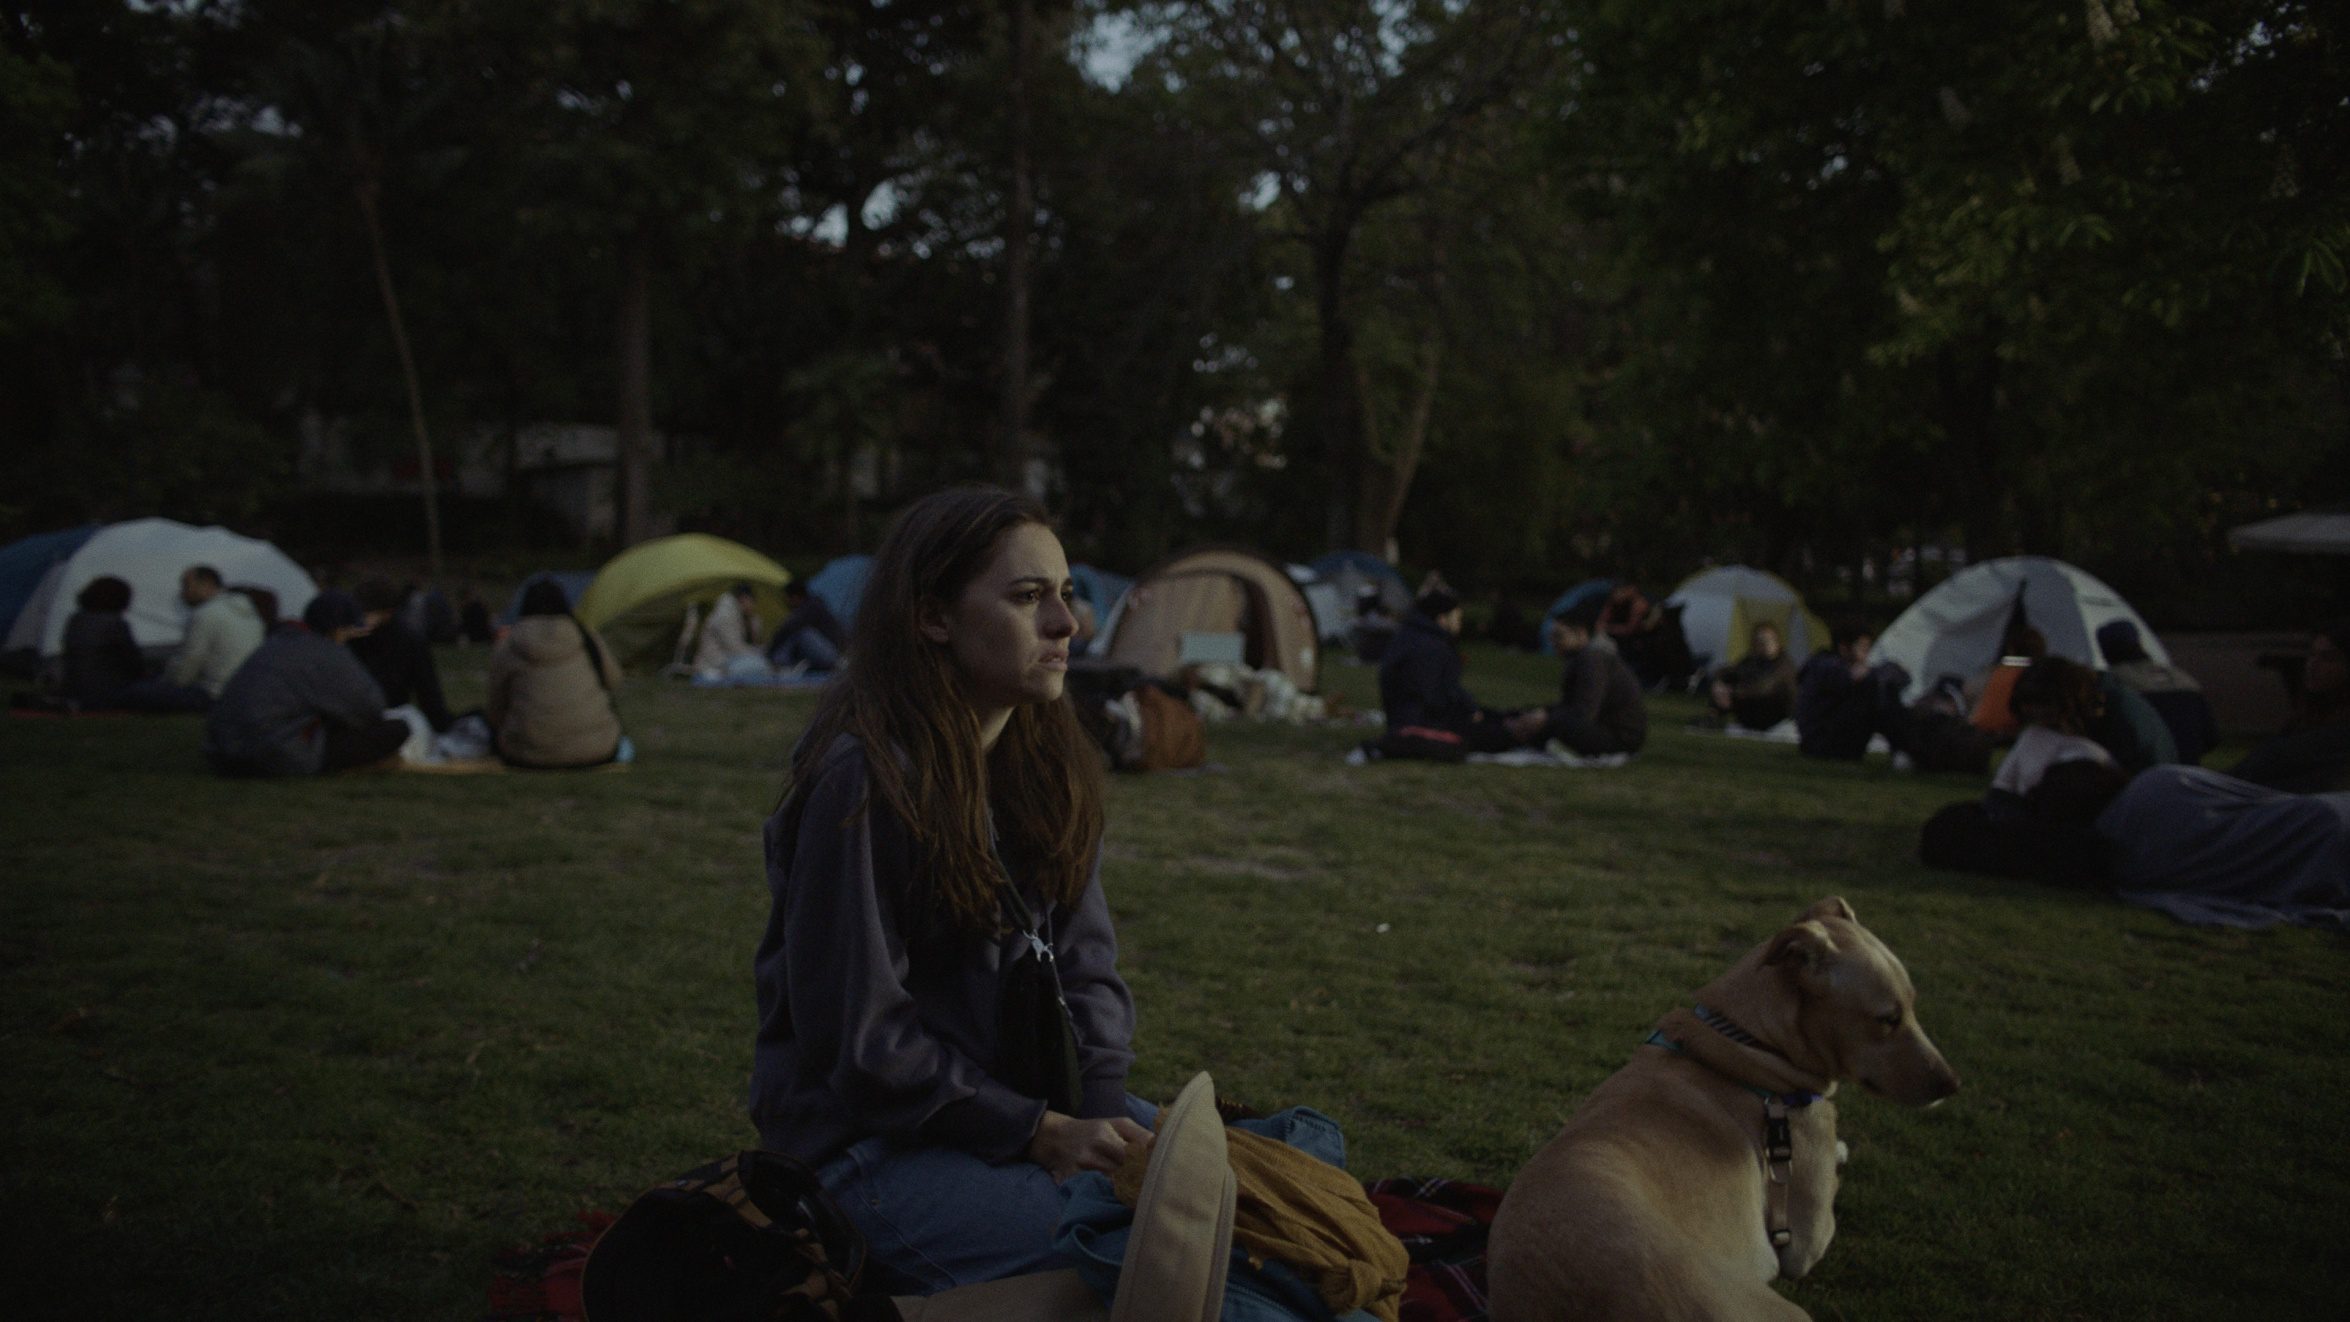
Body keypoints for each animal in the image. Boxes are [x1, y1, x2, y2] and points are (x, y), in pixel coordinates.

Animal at [1485, 901, 1964, 1322]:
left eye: (1913, 1005)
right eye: (1887, 1018)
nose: (1952, 1085)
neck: (1746, 1043)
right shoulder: (1806, 1235)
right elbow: (1826, 1199)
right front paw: (1842, 1154)